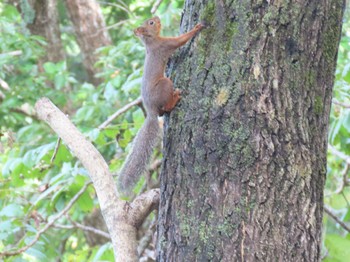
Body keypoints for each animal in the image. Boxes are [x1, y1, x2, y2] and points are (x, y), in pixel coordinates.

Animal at [118, 15, 205, 192]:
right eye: (151, 23)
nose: (157, 17)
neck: (151, 41)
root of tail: (150, 111)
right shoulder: (165, 44)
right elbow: (181, 40)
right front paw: (196, 28)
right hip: (165, 83)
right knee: (165, 108)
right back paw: (175, 98)